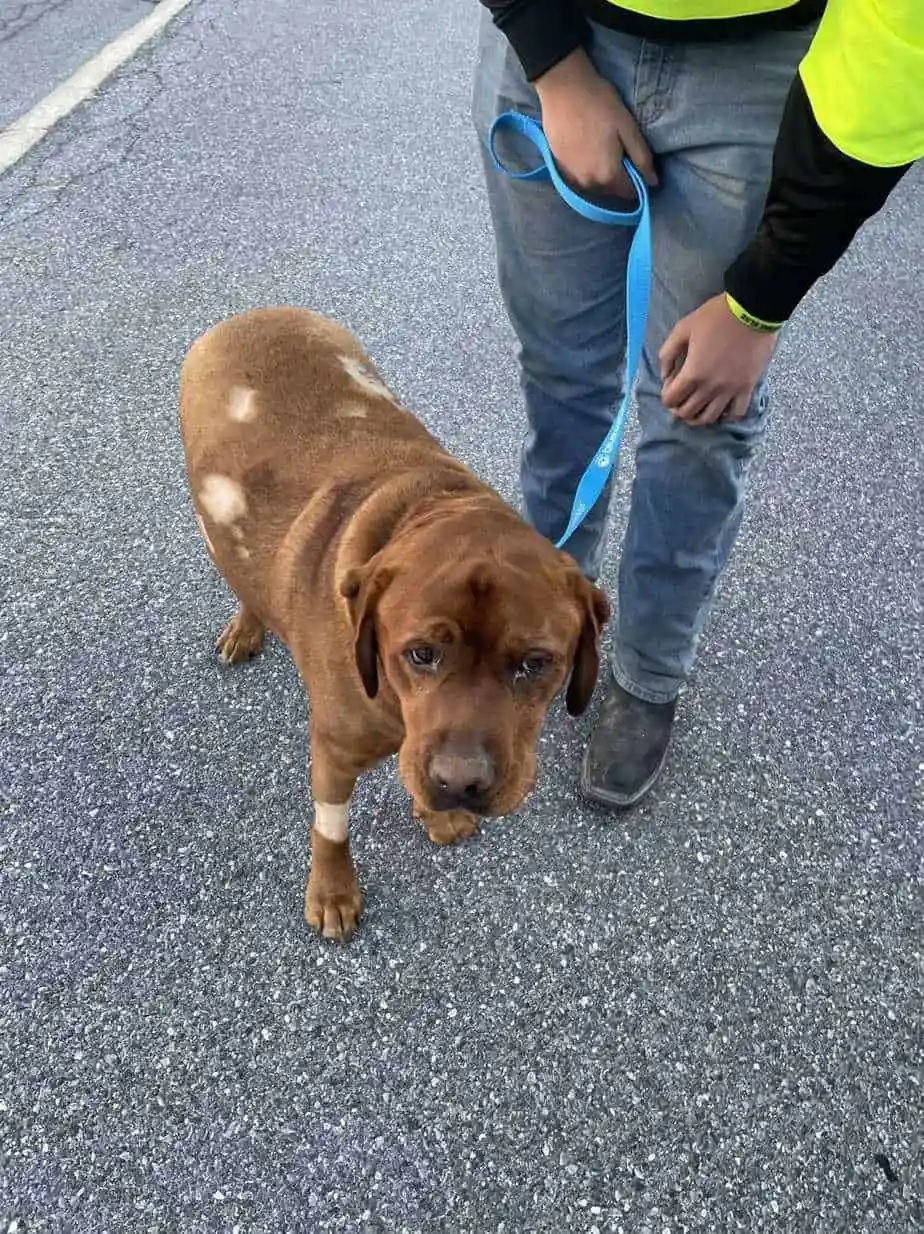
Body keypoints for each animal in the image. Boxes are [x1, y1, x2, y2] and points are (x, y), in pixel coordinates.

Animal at [178, 310, 611, 942]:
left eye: (535, 663)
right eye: (421, 653)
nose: (462, 784)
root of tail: (252, 315)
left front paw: (437, 814)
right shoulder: (333, 751)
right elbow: (331, 828)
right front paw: (333, 890)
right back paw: (247, 624)